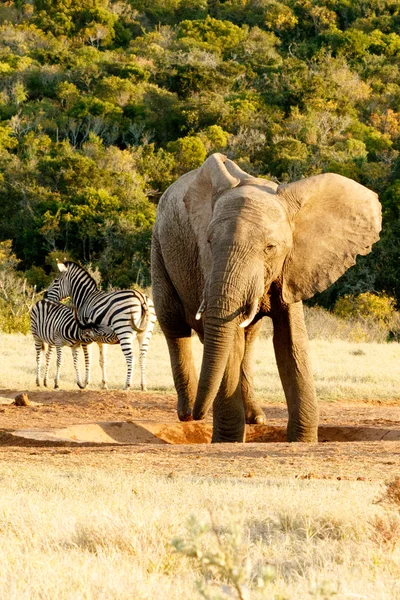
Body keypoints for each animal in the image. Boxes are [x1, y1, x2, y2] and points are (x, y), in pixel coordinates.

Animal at [43, 262, 156, 392]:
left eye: (56, 281)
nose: (45, 295)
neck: (85, 298)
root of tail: (140, 296)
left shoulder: (84, 334)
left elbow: (88, 359)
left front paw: (86, 383)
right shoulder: (101, 338)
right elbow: (102, 361)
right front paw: (104, 384)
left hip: (123, 331)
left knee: (131, 358)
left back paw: (127, 385)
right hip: (145, 333)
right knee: (142, 357)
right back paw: (143, 386)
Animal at [151, 154, 382, 446]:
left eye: (270, 248)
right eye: (209, 241)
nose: (200, 412)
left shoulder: (293, 265)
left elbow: (290, 340)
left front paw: (302, 441)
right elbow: (232, 342)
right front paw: (227, 442)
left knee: (248, 335)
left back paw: (253, 419)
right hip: (158, 247)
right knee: (173, 324)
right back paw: (189, 415)